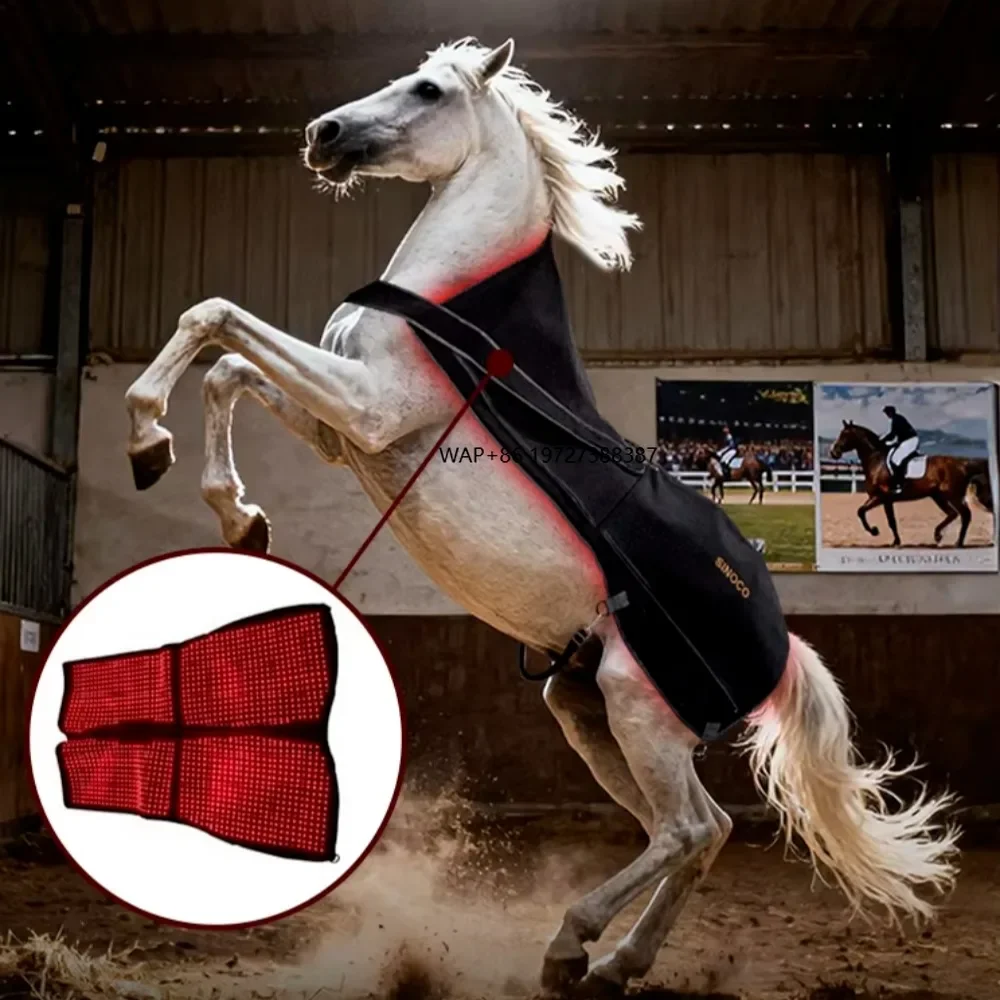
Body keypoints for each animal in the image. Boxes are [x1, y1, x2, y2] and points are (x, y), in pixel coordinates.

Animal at [124, 39, 958, 996]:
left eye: (428, 90)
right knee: (702, 832)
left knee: (687, 830)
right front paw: (229, 509)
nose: (323, 134)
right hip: (587, 710)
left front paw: (148, 434)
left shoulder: (370, 409)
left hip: (638, 709)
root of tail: (784, 649)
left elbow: (215, 318)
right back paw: (617, 964)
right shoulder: (347, 434)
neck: (455, 306)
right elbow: (226, 369)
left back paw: (573, 943)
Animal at [830, 420, 994, 548]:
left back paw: (958, 543)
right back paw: (938, 535)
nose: (833, 452)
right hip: (938, 496)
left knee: (965, 514)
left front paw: (875, 531)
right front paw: (895, 541)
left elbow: (861, 511)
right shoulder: (885, 500)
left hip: (952, 495)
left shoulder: (880, 497)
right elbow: (891, 521)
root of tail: (962, 464)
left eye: (844, 435)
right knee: (953, 514)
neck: (876, 460)